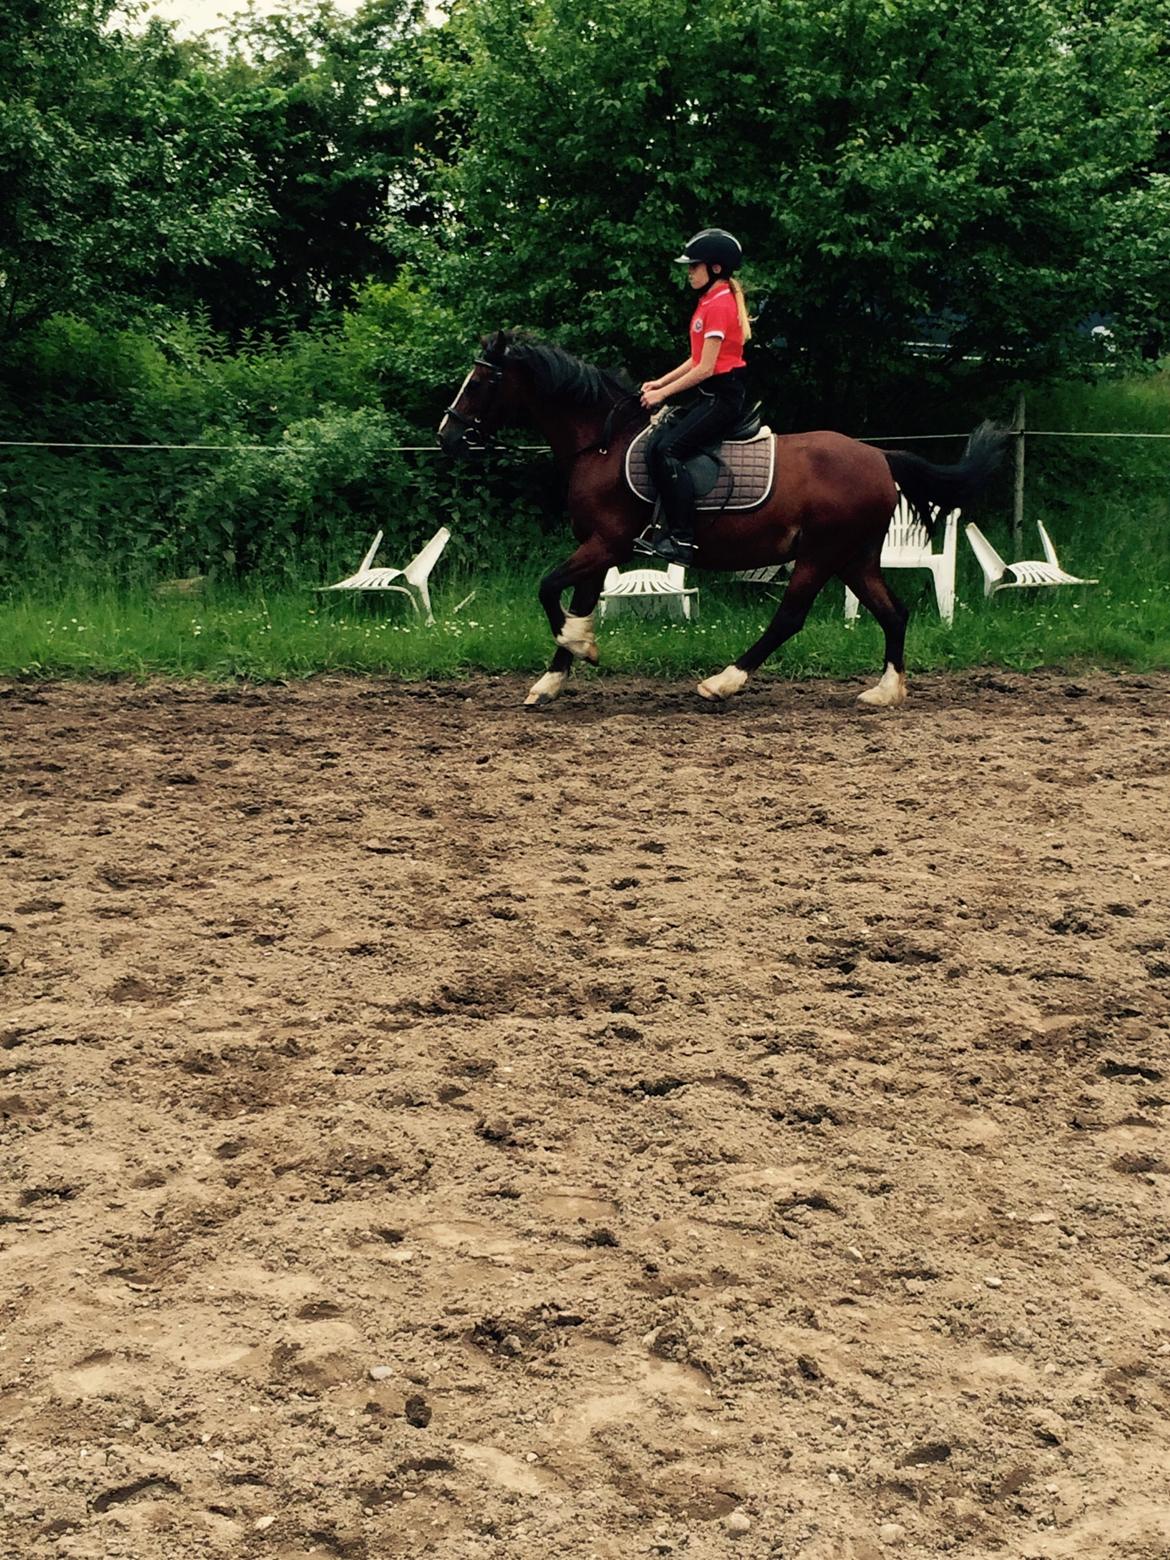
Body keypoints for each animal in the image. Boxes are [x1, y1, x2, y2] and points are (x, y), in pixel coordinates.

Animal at [439, 335, 1010, 714]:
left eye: (482, 380)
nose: (447, 435)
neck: (602, 443)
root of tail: (879, 458)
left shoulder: (608, 544)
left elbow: (547, 587)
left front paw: (581, 646)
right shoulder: (594, 547)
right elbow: (574, 601)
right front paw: (554, 678)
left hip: (821, 555)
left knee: (789, 619)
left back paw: (723, 682)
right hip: (855, 557)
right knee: (894, 613)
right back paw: (886, 691)